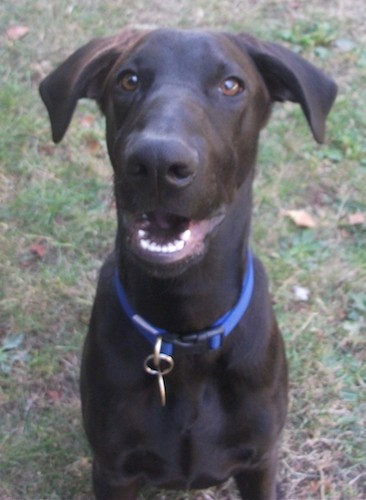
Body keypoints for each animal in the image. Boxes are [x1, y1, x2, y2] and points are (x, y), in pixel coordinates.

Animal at [39, 28, 334, 500]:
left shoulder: (260, 462)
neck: (185, 331)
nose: (158, 163)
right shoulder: (113, 470)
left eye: (231, 85)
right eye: (128, 80)